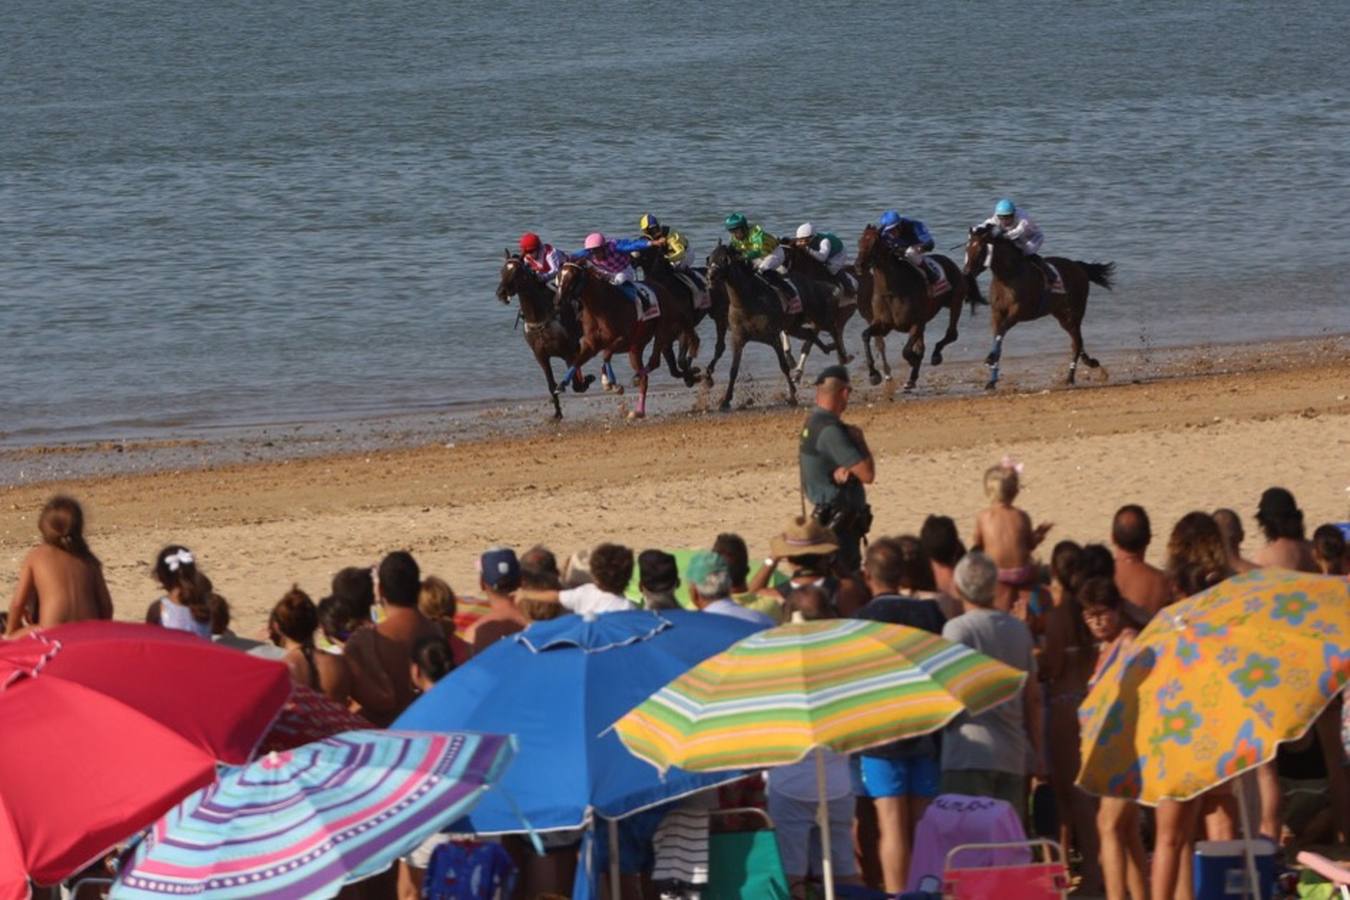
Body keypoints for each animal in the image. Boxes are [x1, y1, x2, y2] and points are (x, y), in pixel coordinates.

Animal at [496, 253, 591, 418]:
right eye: (502, 270)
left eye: (516, 273)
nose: (501, 293)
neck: (539, 318)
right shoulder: (541, 355)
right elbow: (551, 385)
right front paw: (557, 414)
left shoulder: (568, 352)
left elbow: (577, 384)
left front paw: (587, 379)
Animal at [550, 261, 696, 420]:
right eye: (559, 276)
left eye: (572, 277)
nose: (557, 301)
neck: (600, 306)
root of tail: (665, 291)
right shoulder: (591, 344)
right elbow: (577, 361)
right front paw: (562, 384)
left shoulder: (622, 339)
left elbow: (606, 355)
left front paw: (612, 384)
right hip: (636, 348)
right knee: (645, 377)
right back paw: (638, 410)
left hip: (662, 329)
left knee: (654, 361)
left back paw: (636, 379)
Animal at [707, 242, 799, 412]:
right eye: (710, 258)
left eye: (725, 259)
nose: (710, 277)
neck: (747, 303)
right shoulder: (737, 339)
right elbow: (733, 370)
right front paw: (725, 401)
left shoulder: (773, 337)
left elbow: (783, 366)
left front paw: (792, 397)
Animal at [853, 225, 972, 391]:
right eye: (860, 241)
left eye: (875, 242)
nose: (858, 265)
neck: (891, 291)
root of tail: (950, 262)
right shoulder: (884, 325)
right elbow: (865, 335)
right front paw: (873, 374)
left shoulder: (916, 323)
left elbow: (907, 351)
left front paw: (912, 360)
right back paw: (911, 379)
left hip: (955, 302)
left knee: (951, 334)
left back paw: (935, 356)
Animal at [966, 223, 1112, 388]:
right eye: (967, 248)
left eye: (980, 250)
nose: (966, 272)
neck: (1008, 275)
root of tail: (1078, 266)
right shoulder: (997, 313)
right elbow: (998, 335)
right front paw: (991, 379)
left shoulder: (1018, 312)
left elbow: (1002, 331)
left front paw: (990, 359)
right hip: (1061, 315)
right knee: (1077, 341)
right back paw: (1089, 362)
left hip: (1074, 311)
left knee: (1077, 342)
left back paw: (1070, 378)